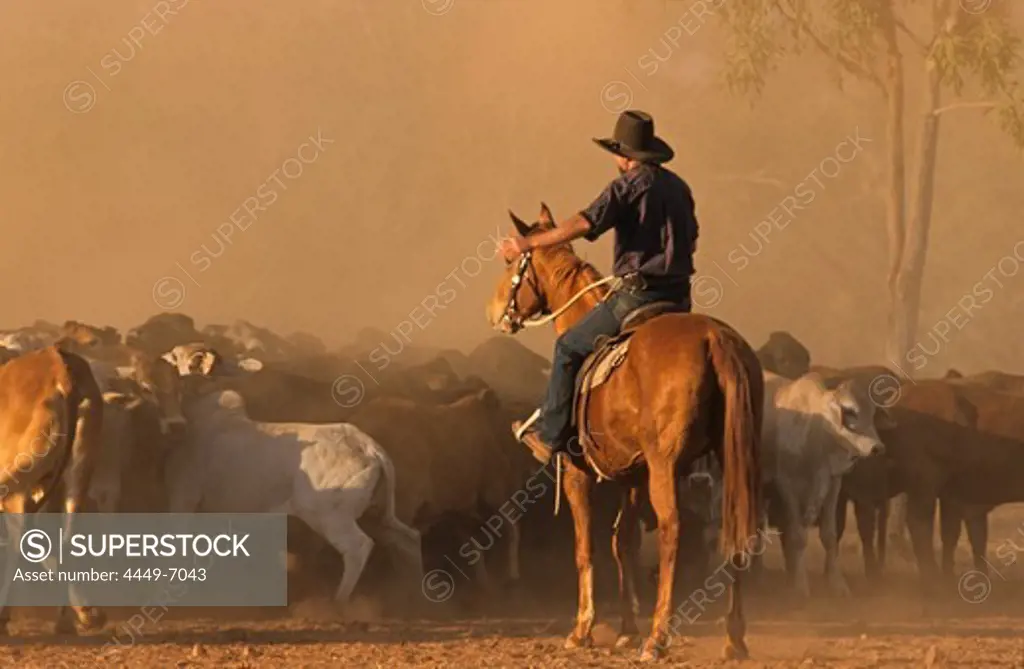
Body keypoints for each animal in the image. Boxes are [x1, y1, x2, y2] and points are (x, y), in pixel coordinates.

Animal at [166, 383, 419, 602]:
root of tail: (368, 446)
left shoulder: (183, 498)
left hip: (329, 516)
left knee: (359, 547)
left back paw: (337, 603)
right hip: (375, 512)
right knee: (407, 540)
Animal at [483, 204, 765, 663]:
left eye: (511, 263)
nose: (493, 313)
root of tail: (714, 339)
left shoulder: (578, 474)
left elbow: (587, 548)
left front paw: (583, 629)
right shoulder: (634, 476)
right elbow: (624, 543)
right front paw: (626, 629)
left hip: (668, 466)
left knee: (672, 530)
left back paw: (658, 638)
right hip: (735, 456)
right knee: (737, 528)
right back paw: (733, 638)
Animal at [765, 370, 892, 594]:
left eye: (872, 414)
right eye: (850, 411)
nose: (877, 447)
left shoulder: (833, 484)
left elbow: (830, 535)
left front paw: (837, 583)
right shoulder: (786, 484)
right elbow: (798, 535)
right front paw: (800, 585)